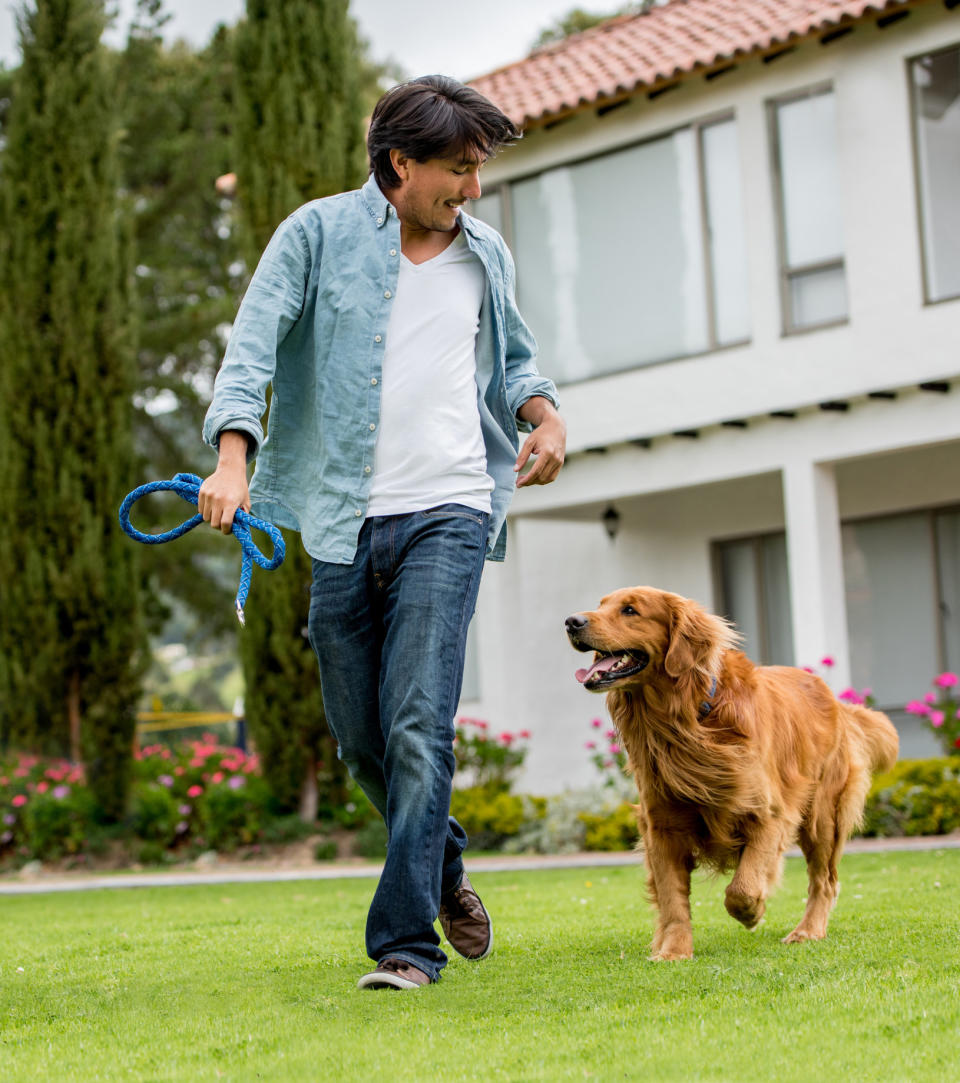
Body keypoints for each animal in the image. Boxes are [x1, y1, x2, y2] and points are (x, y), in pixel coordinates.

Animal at [567, 589, 897, 961]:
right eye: (600, 605)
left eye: (629, 610)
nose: (571, 621)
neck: (687, 720)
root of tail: (833, 697)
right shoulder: (662, 826)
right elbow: (672, 900)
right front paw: (673, 951)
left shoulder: (769, 814)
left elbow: (741, 887)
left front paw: (753, 912)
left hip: (823, 815)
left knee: (824, 880)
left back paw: (807, 930)